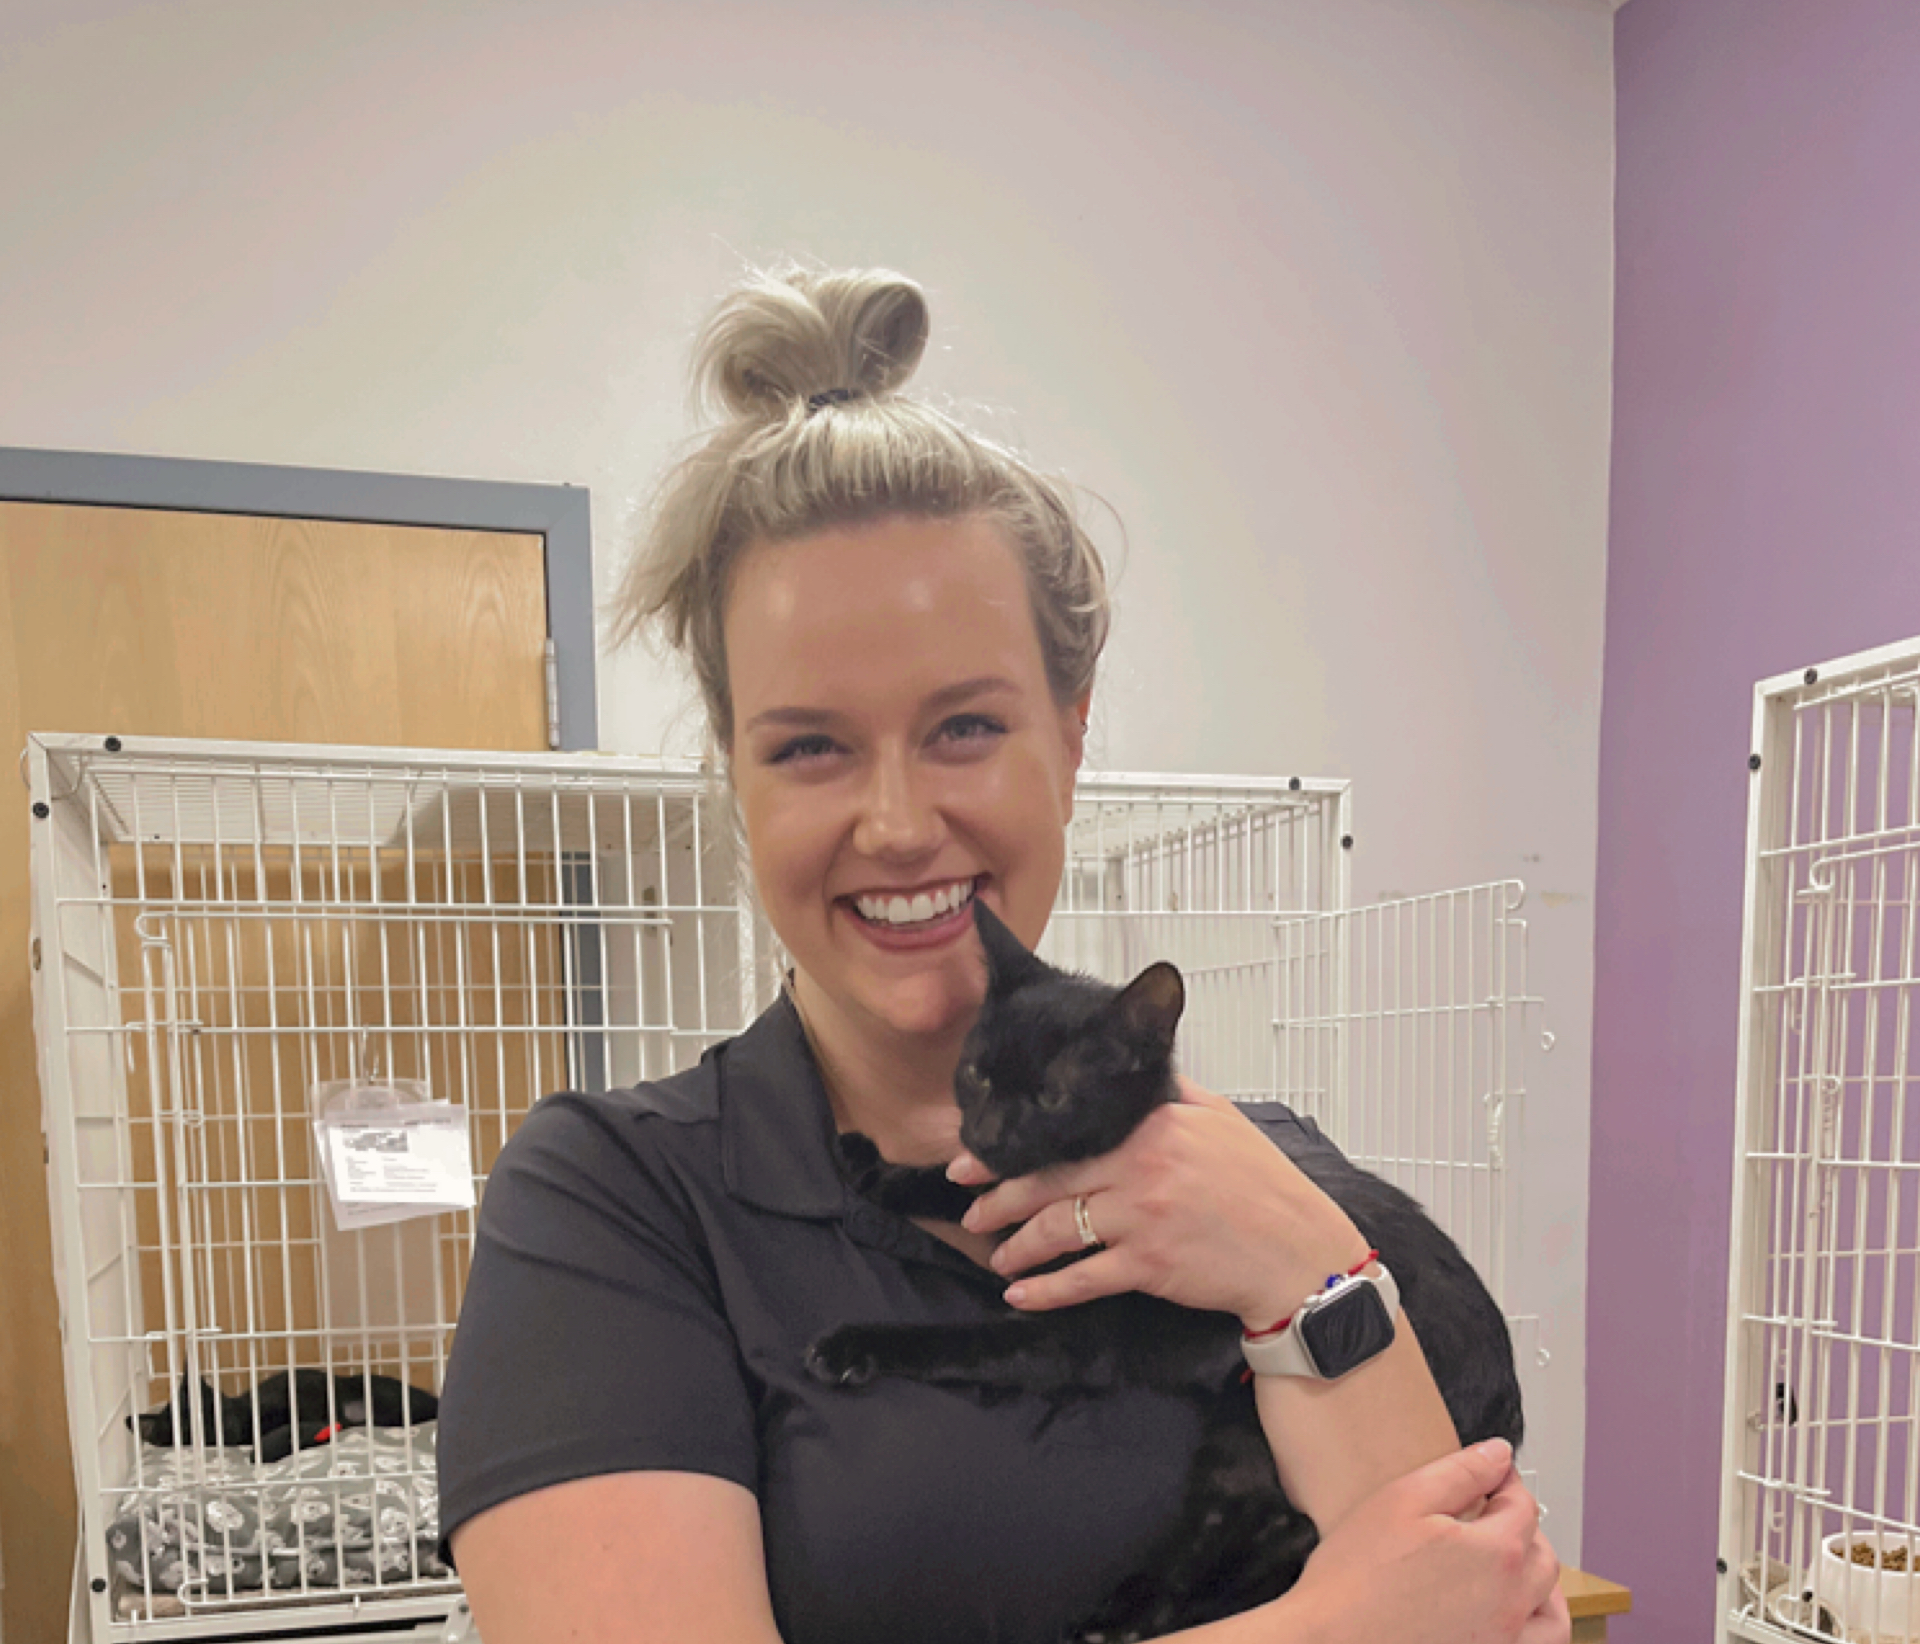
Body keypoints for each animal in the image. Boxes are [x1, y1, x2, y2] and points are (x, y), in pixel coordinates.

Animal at [807, 899, 1524, 1643]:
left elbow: (966, 1339)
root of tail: (1507, 1404)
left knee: (1263, 1533)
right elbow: (963, 1187)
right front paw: (878, 1170)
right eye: (976, 1074)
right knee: (1246, 1525)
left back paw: (1121, 1616)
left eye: (1052, 1096)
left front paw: (854, 1343)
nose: (986, 1133)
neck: (1072, 1183)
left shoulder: (1072, 1335)